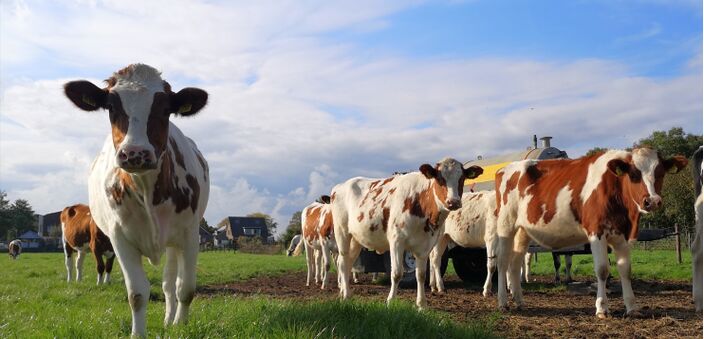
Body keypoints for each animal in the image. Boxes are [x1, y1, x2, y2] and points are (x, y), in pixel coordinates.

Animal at [63, 63, 209, 338]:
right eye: (111, 107)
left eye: (165, 109)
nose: (135, 154)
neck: (147, 189)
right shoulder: (119, 238)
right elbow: (137, 294)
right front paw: (138, 332)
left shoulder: (189, 234)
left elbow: (185, 288)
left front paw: (181, 326)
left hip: (173, 242)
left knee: (169, 284)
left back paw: (170, 320)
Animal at [330, 158, 484, 310]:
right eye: (440, 178)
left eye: (462, 178)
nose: (453, 202)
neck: (421, 202)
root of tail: (340, 186)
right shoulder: (396, 241)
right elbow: (397, 273)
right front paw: (390, 301)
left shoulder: (425, 245)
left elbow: (421, 275)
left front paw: (421, 305)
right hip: (342, 232)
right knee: (343, 262)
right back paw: (345, 296)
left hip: (356, 239)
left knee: (348, 263)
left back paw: (344, 292)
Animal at [492, 149, 684, 318]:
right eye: (634, 174)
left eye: (660, 173)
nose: (652, 201)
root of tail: (504, 168)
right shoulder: (596, 232)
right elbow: (602, 270)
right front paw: (602, 308)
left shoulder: (622, 236)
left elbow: (626, 270)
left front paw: (632, 308)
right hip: (505, 225)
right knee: (502, 262)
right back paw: (503, 302)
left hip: (523, 231)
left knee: (515, 263)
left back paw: (519, 300)